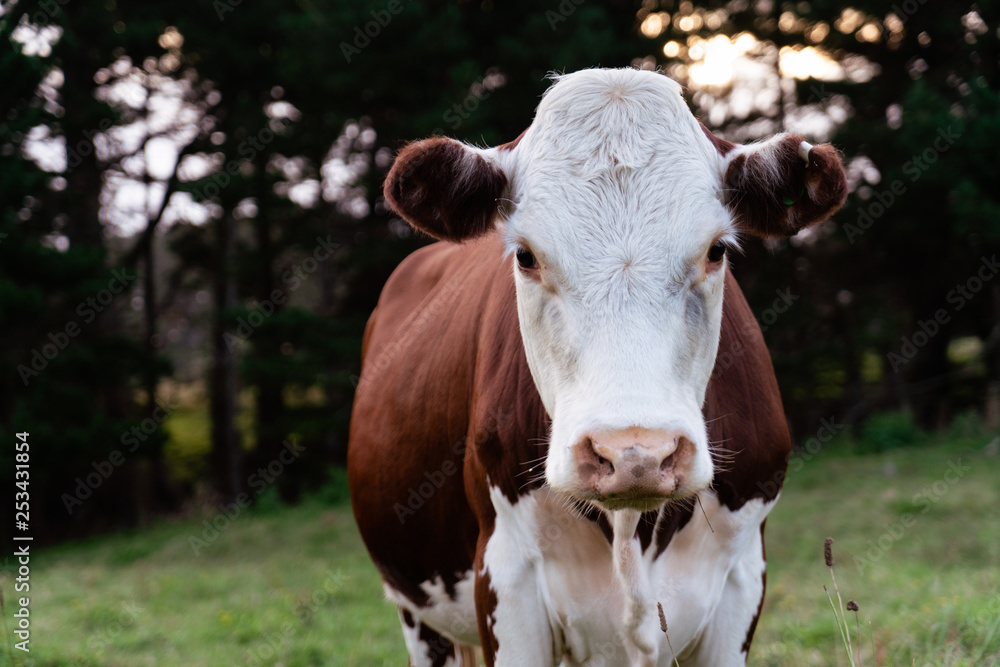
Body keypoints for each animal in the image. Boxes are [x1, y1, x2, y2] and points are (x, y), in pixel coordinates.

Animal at [348, 69, 848, 667]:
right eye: (525, 255)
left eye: (717, 250)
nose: (635, 455)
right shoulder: (506, 578)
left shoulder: (742, 575)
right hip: (419, 613)